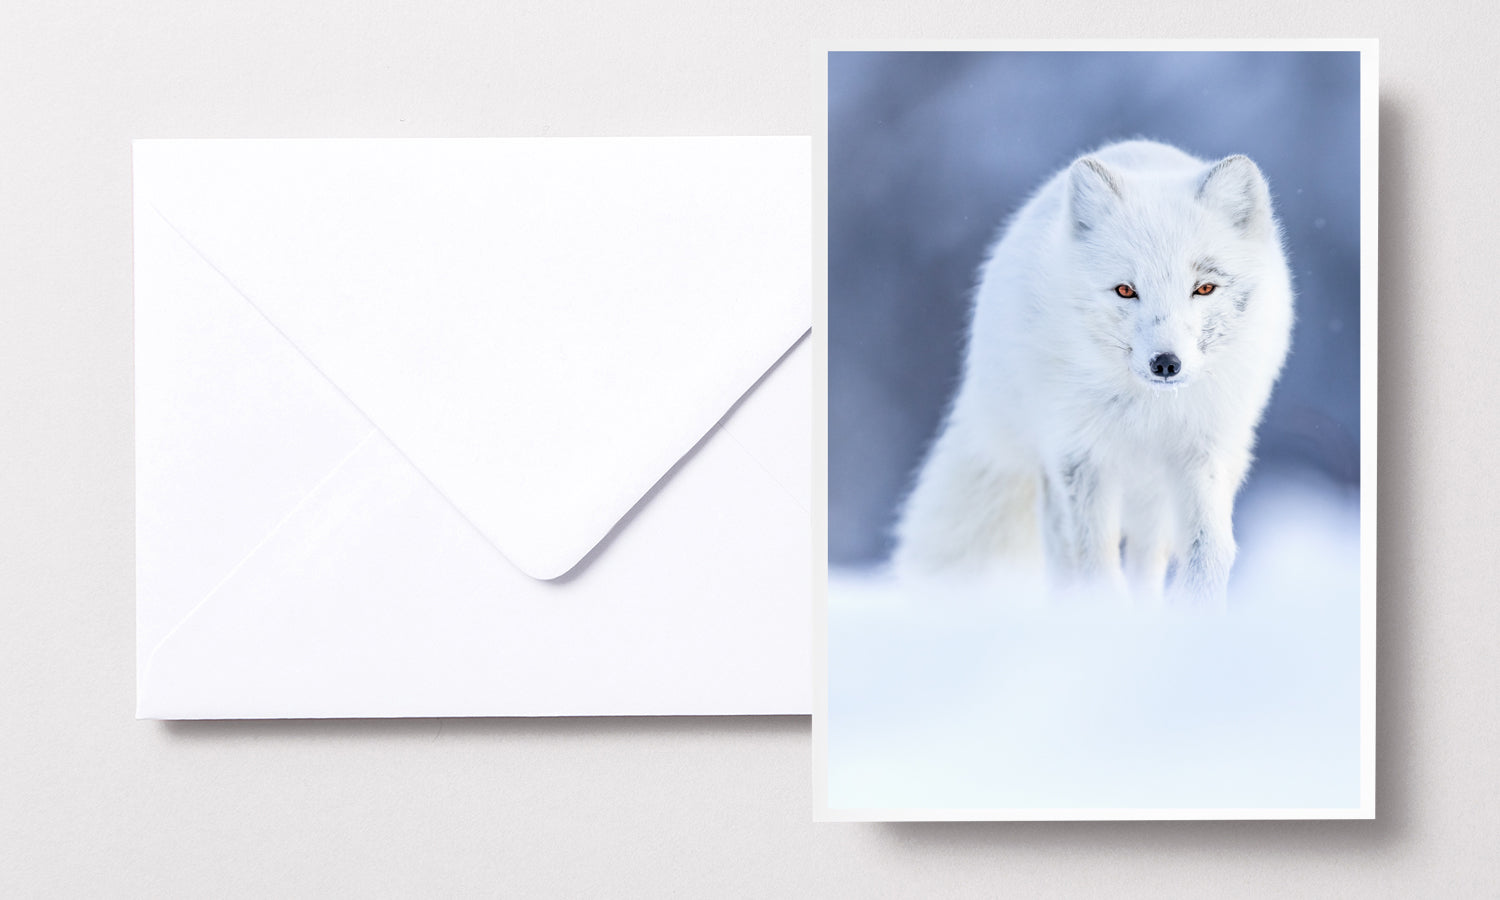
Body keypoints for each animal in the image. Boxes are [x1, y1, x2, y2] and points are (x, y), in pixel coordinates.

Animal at [892, 140, 1294, 605]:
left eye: (1204, 288)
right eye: (1126, 290)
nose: (1166, 363)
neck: (1150, 411)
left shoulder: (1204, 452)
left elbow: (1209, 550)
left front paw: (1194, 610)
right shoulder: (1081, 457)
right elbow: (1093, 558)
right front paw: (1102, 612)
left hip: (1154, 492)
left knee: (1146, 556)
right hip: (1053, 467)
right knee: (1063, 553)